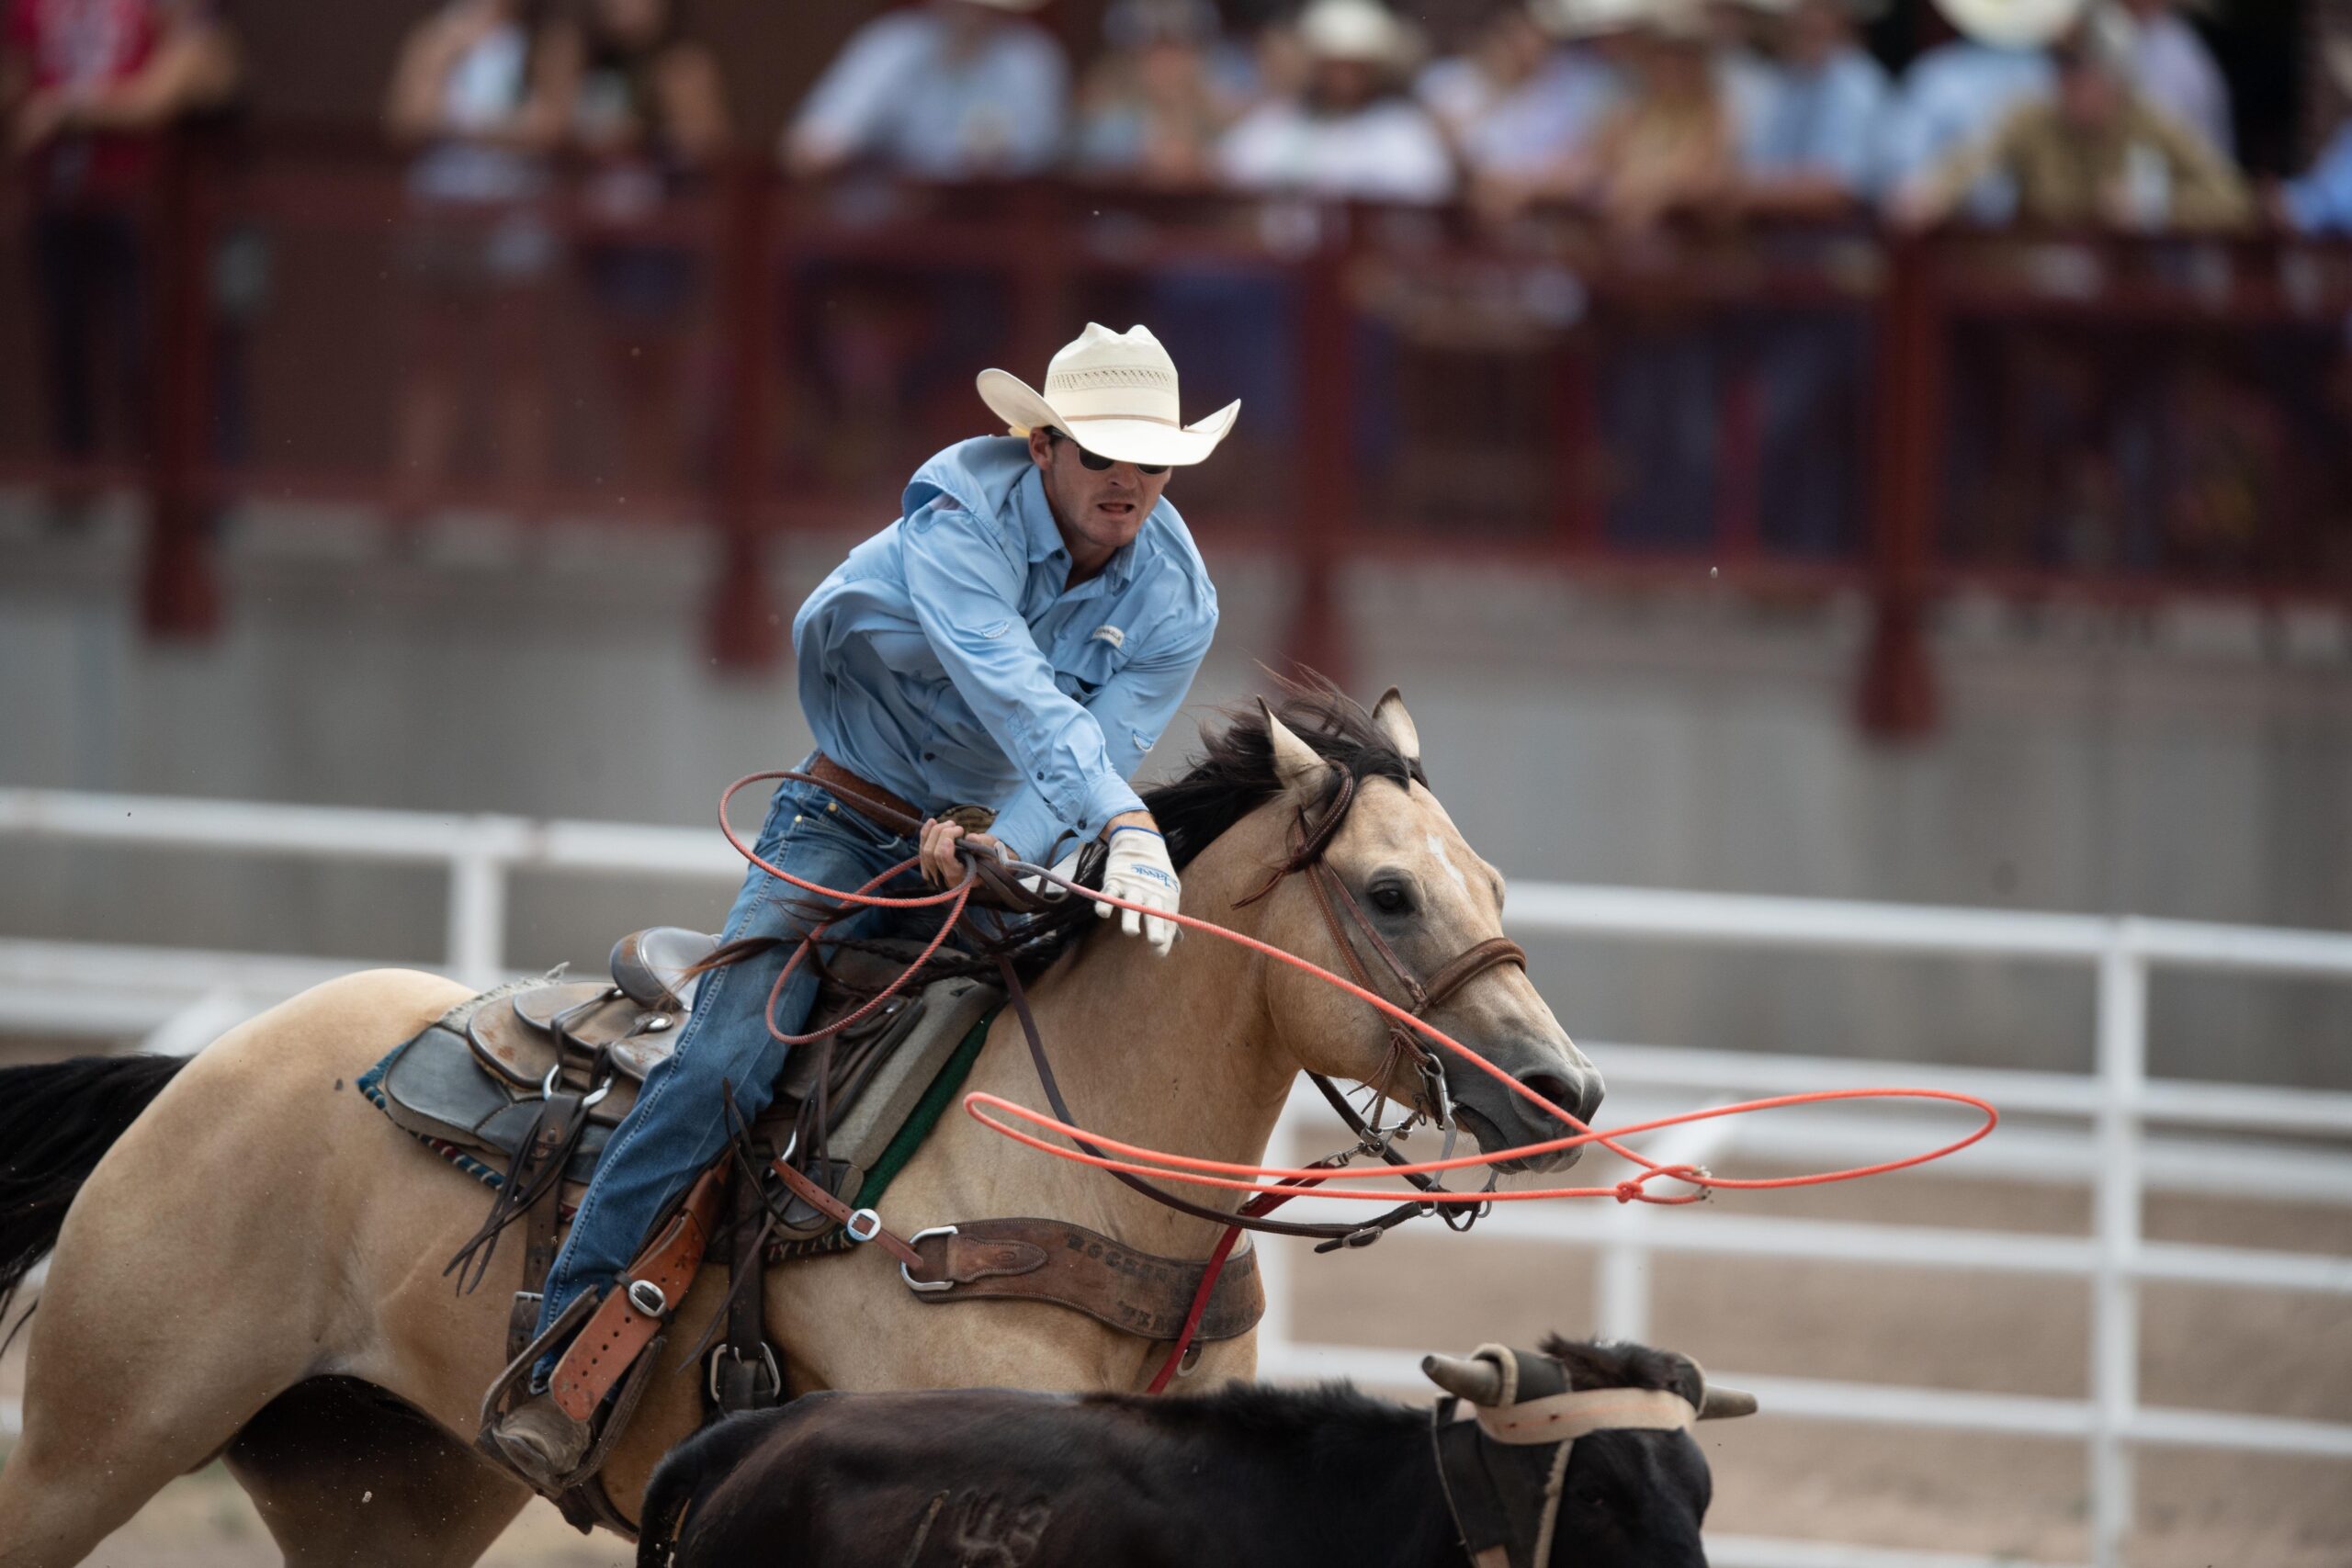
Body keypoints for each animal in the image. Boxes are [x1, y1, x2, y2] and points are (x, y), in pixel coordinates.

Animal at [0, 691, 1599, 1568]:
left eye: (1494, 881)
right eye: (1389, 893)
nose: (1563, 1092)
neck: (1071, 1175)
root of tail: (206, 1066)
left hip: (385, 1490)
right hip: (98, 1436)